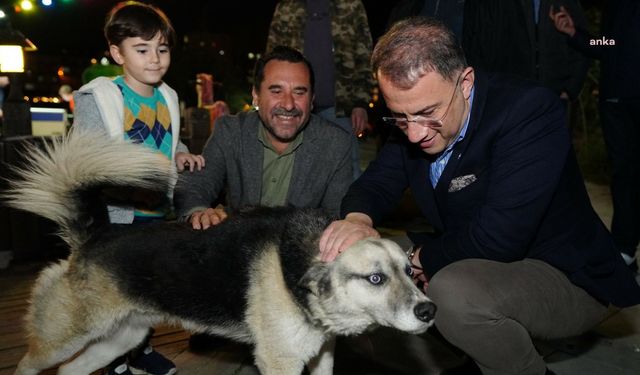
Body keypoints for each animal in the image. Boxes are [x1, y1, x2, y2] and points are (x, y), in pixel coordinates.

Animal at [5, 130, 436, 375]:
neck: (299, 268)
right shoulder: (280, 361)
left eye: (408, 271)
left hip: (121, 337)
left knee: (70, 371)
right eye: (375, 278)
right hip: (62, 339)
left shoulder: (320, 356)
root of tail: (95, 236)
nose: (429, 311)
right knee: (29, 365)